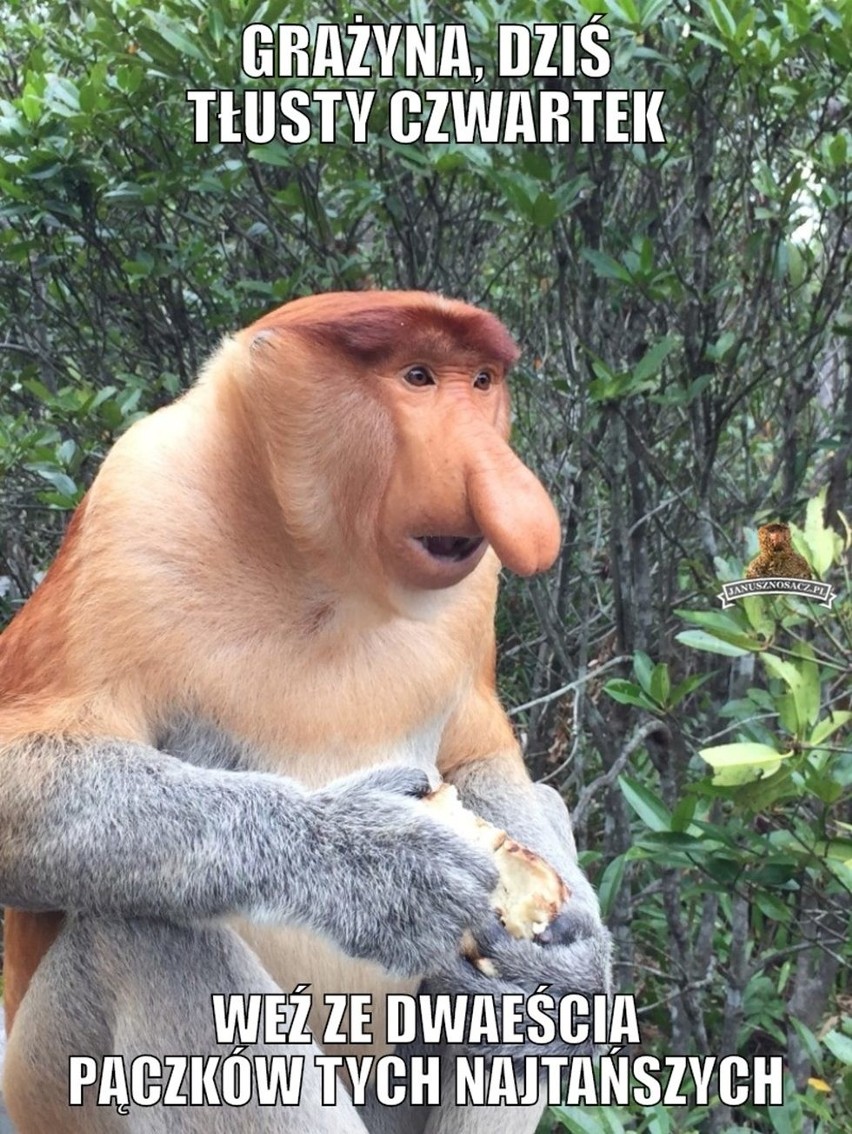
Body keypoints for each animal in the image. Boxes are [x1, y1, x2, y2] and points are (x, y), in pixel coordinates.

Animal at [1, 294, 612, 1134]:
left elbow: (481, 758)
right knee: (143, 933)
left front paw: (567, 964)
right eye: (417, 377)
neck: (325, 576)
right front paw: (372, 864)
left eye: (482, 381)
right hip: (43, 1085)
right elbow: (22, 763)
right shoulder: (134, 508)